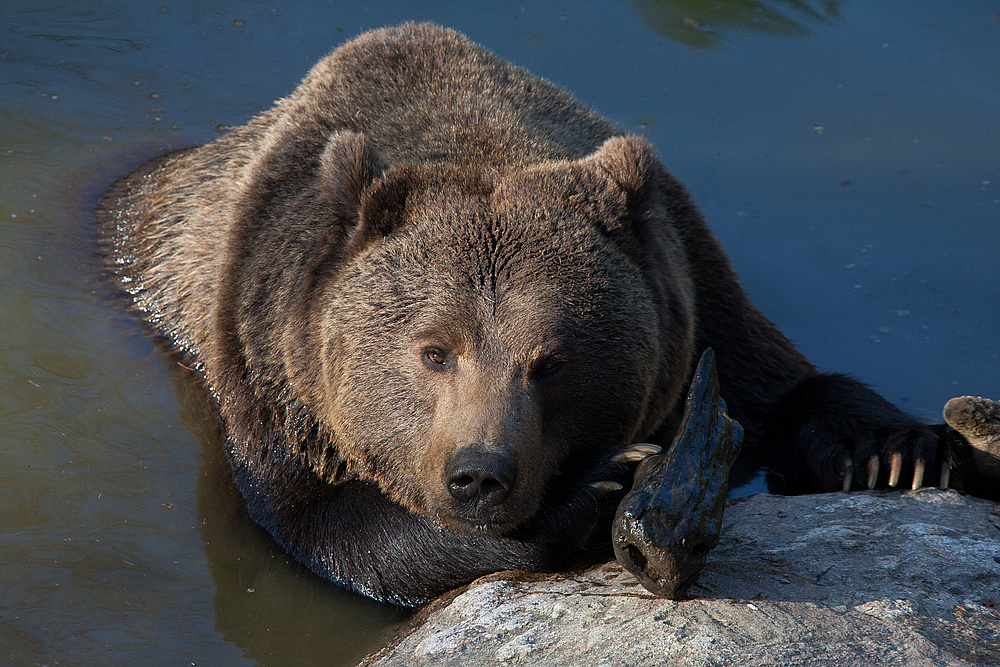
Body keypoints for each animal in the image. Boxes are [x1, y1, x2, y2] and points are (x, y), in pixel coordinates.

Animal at [97, 22, 964, 604]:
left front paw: (895, 451)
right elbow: (335, 530)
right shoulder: (268, 355)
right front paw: (594, 487)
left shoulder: (691, 282)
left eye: (551, 361)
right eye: (433, 350)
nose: (479, 473)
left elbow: (775, 387)